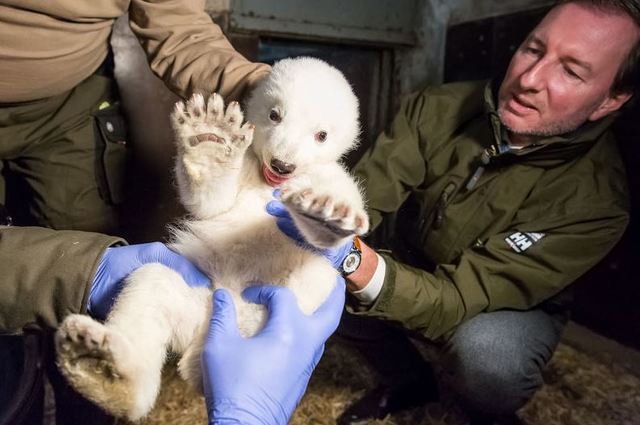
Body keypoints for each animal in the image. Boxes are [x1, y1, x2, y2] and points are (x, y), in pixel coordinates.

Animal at [55, 57, 369, 420]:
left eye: (321, 135)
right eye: (275, 115)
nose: (283, 165)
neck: (268, 183)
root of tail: (205, 331)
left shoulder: (328, 176)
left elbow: (325, 232)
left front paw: (325, 211)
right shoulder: (245, 172)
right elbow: (212, 202)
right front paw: (210, 144)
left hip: (282, 305)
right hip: (188, 290)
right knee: (149, 288)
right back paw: (104, 373)